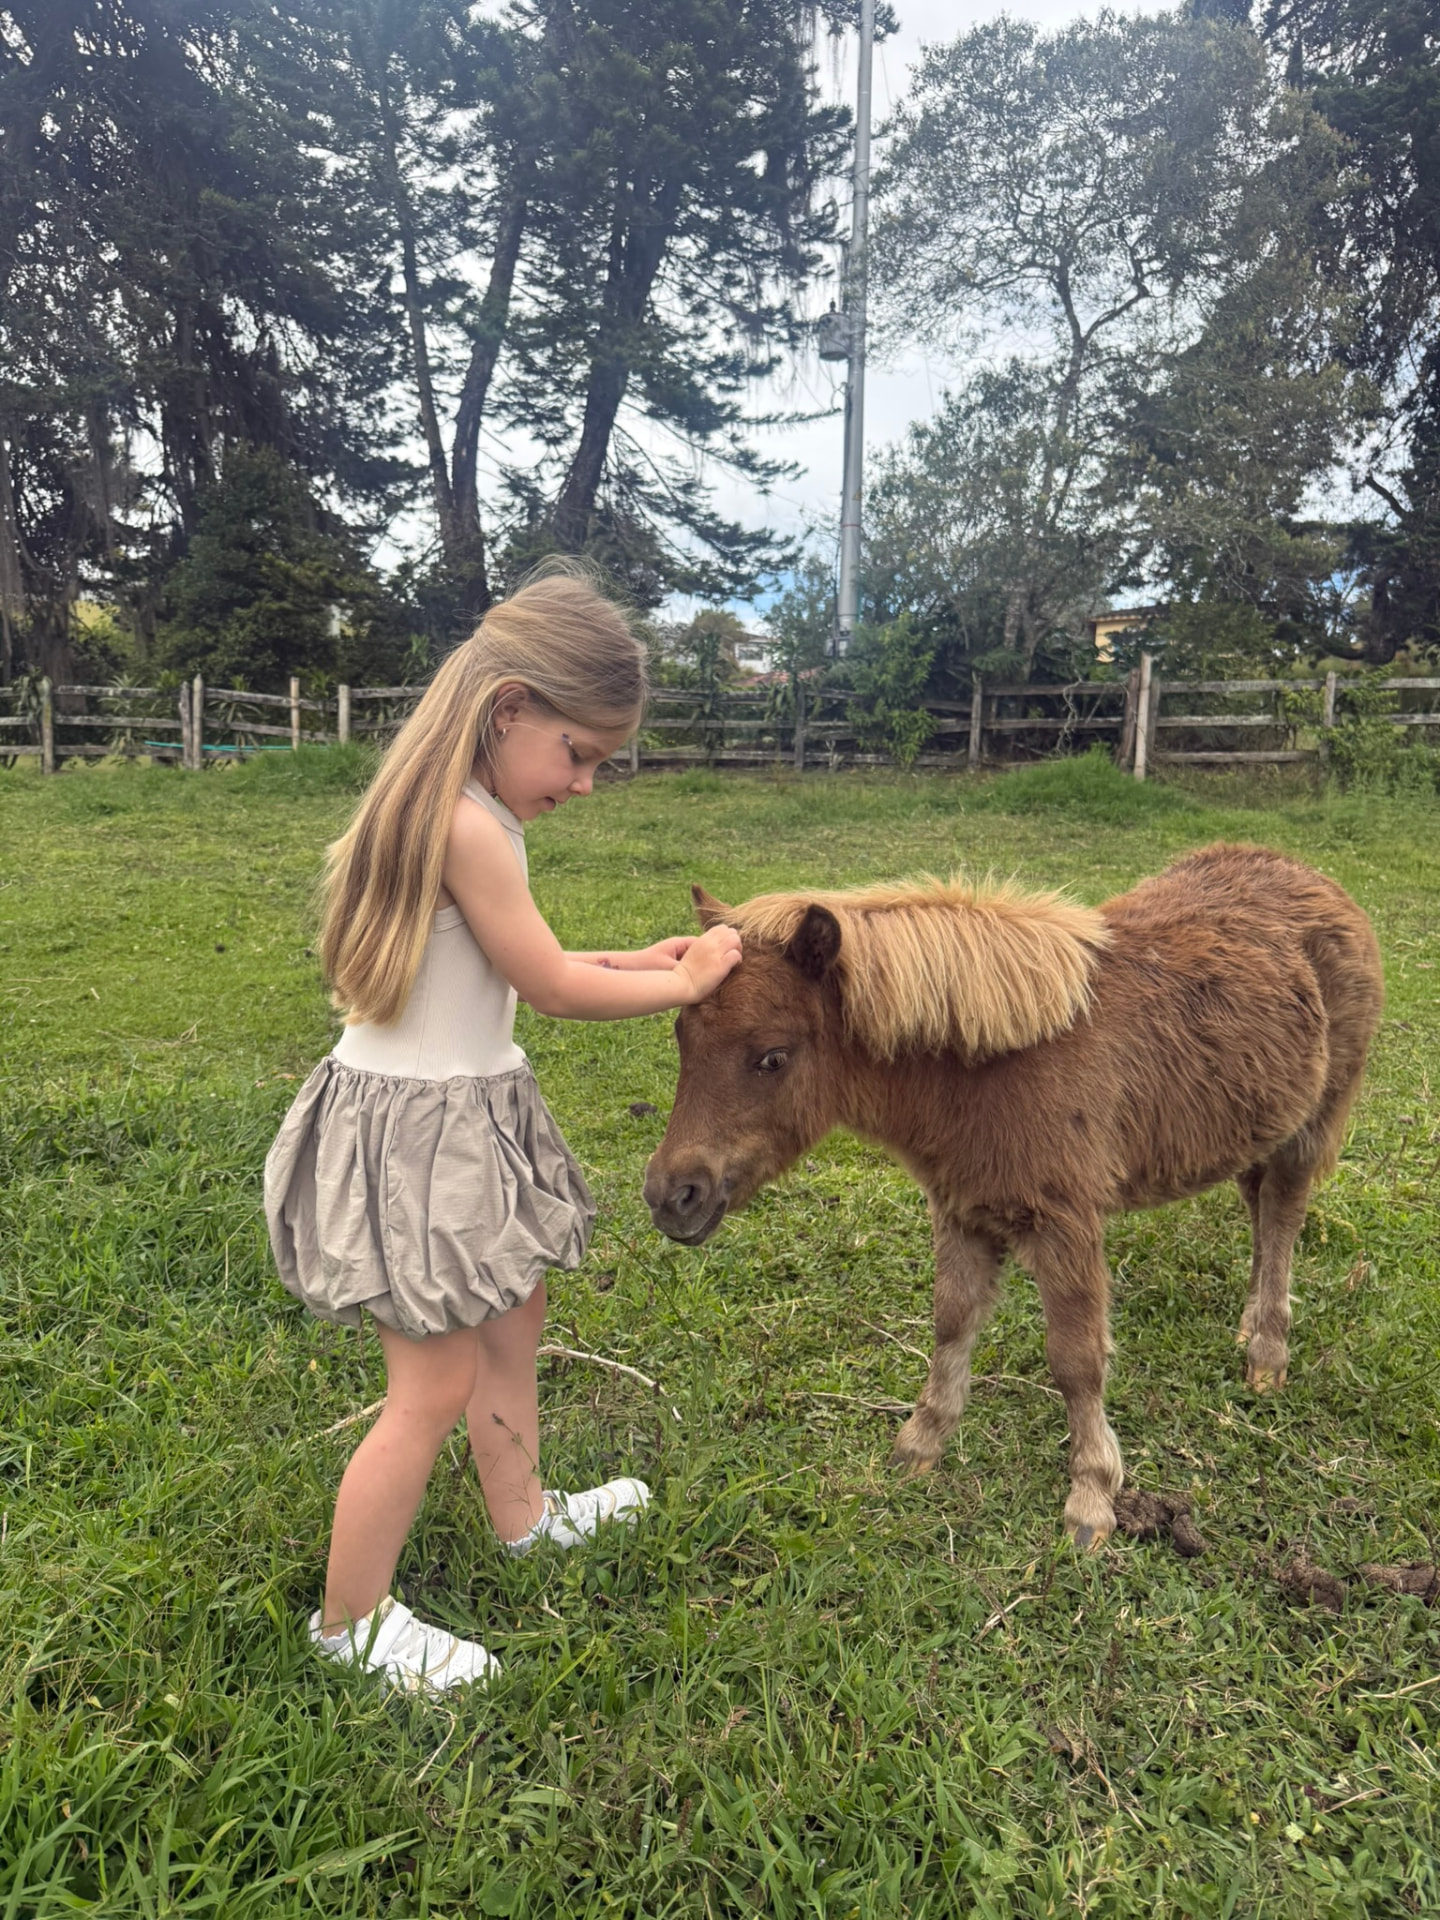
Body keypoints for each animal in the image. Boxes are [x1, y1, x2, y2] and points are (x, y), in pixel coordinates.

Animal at [643, 843, 1383, 1547]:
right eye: (680, 1036)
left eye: (772, 1057)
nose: (671, 1195)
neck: (986, 1072)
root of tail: (1316, 880)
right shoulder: (961, 1206)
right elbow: (952, 1320)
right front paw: (921, 1443)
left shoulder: (1067, 1219)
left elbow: (1076, 1359)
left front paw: (1091, 1497)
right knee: (1259, 1209)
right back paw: (1251, 1325)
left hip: (1310, 1125)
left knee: (1281, 1215)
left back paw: (1267, 1354)